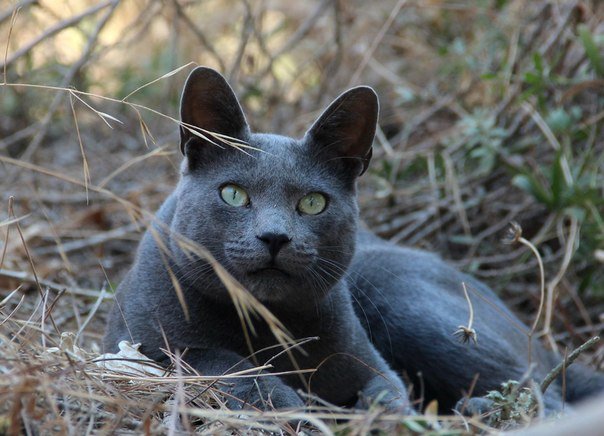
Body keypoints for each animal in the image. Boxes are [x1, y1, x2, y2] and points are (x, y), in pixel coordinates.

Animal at [104, 66, 600, 414]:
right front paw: (286, 405)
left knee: (540, 388)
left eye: (312, 203)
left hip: (399, 296)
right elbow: (217, 362)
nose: (275, 236)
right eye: (233, 194)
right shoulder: (139, 340)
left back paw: (479, 408)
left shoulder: (368, 361)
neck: (267, 328)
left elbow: (389, 391)